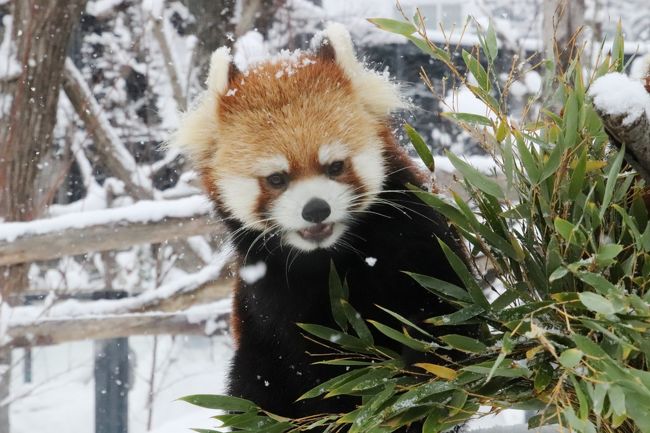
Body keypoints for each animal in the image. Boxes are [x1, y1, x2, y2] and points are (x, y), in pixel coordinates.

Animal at [170, 23, 468, 418]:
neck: (333, 257)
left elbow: (445, 310)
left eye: (335, 166)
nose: (315, 209)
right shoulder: (272, 295)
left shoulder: (417, 235)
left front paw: (414, 368)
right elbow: (309, 363)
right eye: (276, 179)